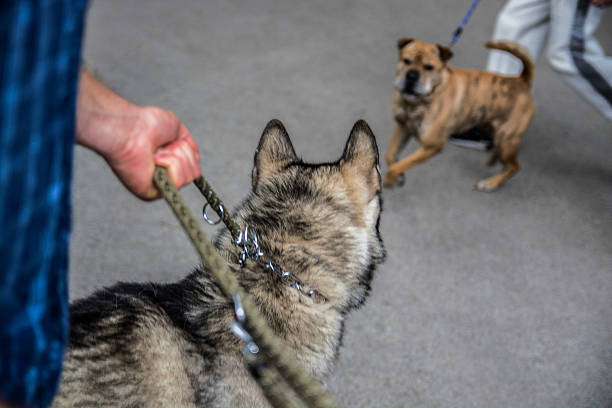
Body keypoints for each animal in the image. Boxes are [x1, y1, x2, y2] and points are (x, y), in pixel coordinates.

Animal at [384, 38, 532, 191]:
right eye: (406, 61)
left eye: (429, 67)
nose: (411, 76)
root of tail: (521, 81)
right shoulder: (403, 127)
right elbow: (390, 156)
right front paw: (398, 176)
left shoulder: (432, 146)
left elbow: (397, 166)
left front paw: (390, 179)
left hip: (506, 140)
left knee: (514, 166)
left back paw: (490, 183)